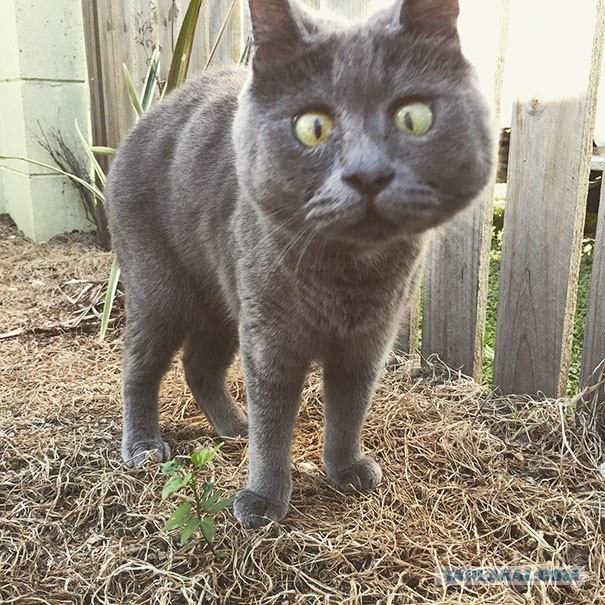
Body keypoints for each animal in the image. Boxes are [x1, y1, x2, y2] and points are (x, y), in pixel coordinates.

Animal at [105, 0, 490, 528]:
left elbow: (349, 408)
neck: (349, 276)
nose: (368, 174)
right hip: (162, 288)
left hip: (224, 301)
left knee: (198, 366)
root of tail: (148, 115)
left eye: (414, 118)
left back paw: (233, 425)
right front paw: (264, 500)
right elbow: (274, 421)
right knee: (139, 365)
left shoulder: (368, 342)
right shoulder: (271, 339)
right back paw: (144, 445)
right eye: (313, 127)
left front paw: (346, 468)